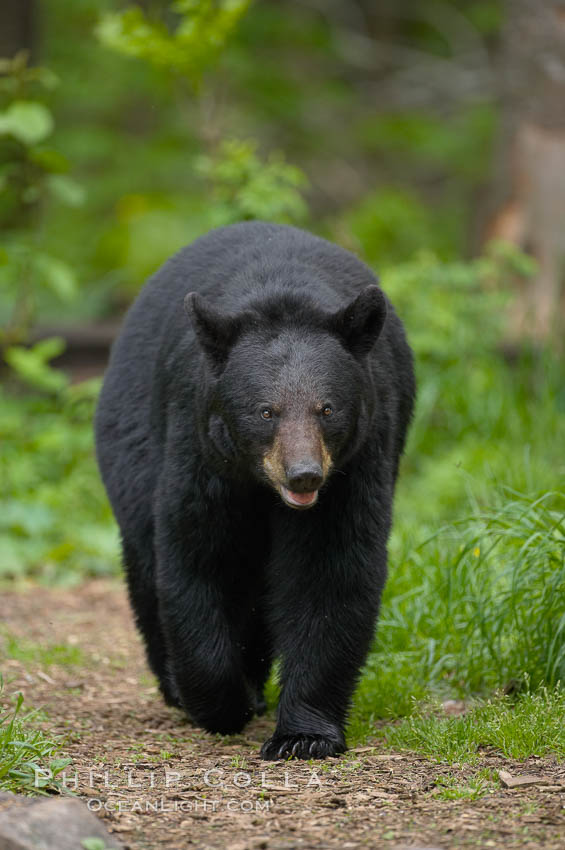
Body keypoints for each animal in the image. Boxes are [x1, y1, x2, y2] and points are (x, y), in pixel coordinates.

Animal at [96, 219, 414, 756]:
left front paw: (303, 734)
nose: (304, 474)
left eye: (327, 408)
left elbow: (330, 570)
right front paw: (222, 701)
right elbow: (198, 558)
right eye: (266, 411)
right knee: (145, 552)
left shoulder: (357, 463)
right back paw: (179, 685)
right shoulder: (201, 452)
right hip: (132, 437)